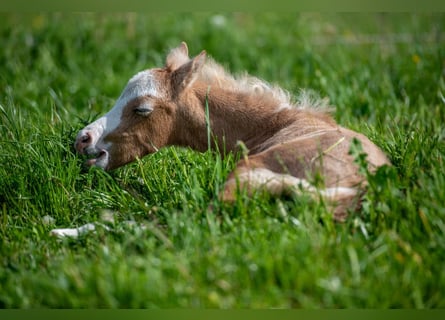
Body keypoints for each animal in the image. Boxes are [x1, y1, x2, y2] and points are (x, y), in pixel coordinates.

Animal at [51, 42, 388, 238]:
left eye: (141, 109)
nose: (82, 139)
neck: (276, 125)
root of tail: (356, 190)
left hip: (243, 178)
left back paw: (61, 230)